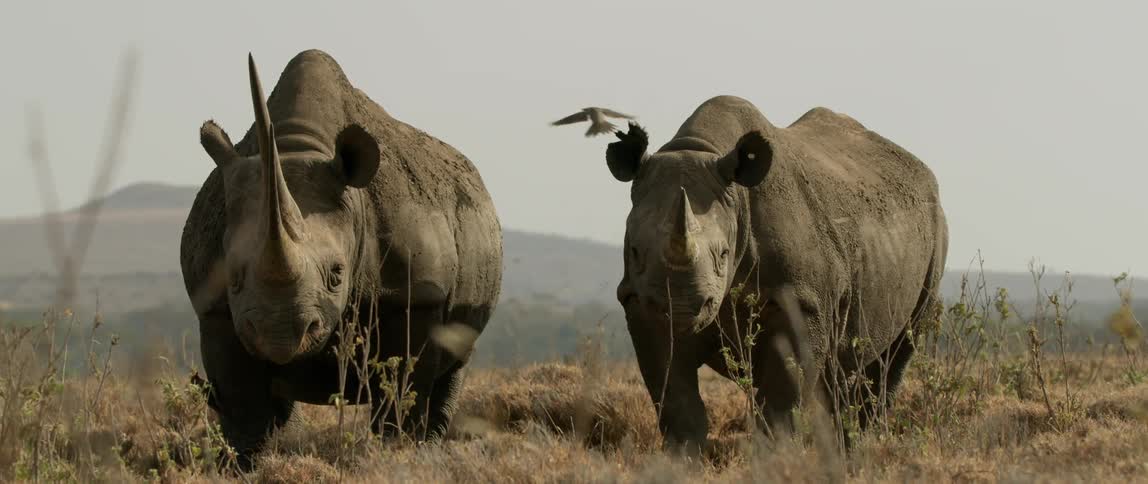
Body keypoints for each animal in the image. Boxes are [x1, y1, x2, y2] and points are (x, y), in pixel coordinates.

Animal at [180, 50, 502, 462]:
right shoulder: (214, 308)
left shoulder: (416, 295)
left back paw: (429, 447)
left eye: (336, 274)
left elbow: (402, 387)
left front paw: (397, 452)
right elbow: (244, 403)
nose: (279, 335)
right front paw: (251, 462)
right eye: (232, 278)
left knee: (453, 364)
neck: (297, 146)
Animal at [604, 96, 948, 453]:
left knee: (896, 352)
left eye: (723, 255)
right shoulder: (640, 302)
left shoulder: (800, 302)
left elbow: (782, 397)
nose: (681, 309)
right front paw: (683, 456)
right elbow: (674, 395)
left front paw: (775, 457)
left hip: (935, 228)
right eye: (635, 252)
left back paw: (854, 451)